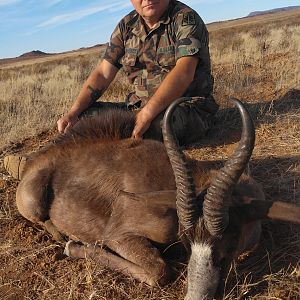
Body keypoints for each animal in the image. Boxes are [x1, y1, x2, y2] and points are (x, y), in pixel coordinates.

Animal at [15, 97, 300, 298]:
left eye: (227, 245)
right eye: (186, 240)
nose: (195, 297)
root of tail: (39, 159)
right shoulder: (120, 236)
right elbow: (159, 272)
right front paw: (74, 246)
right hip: (33, 204)